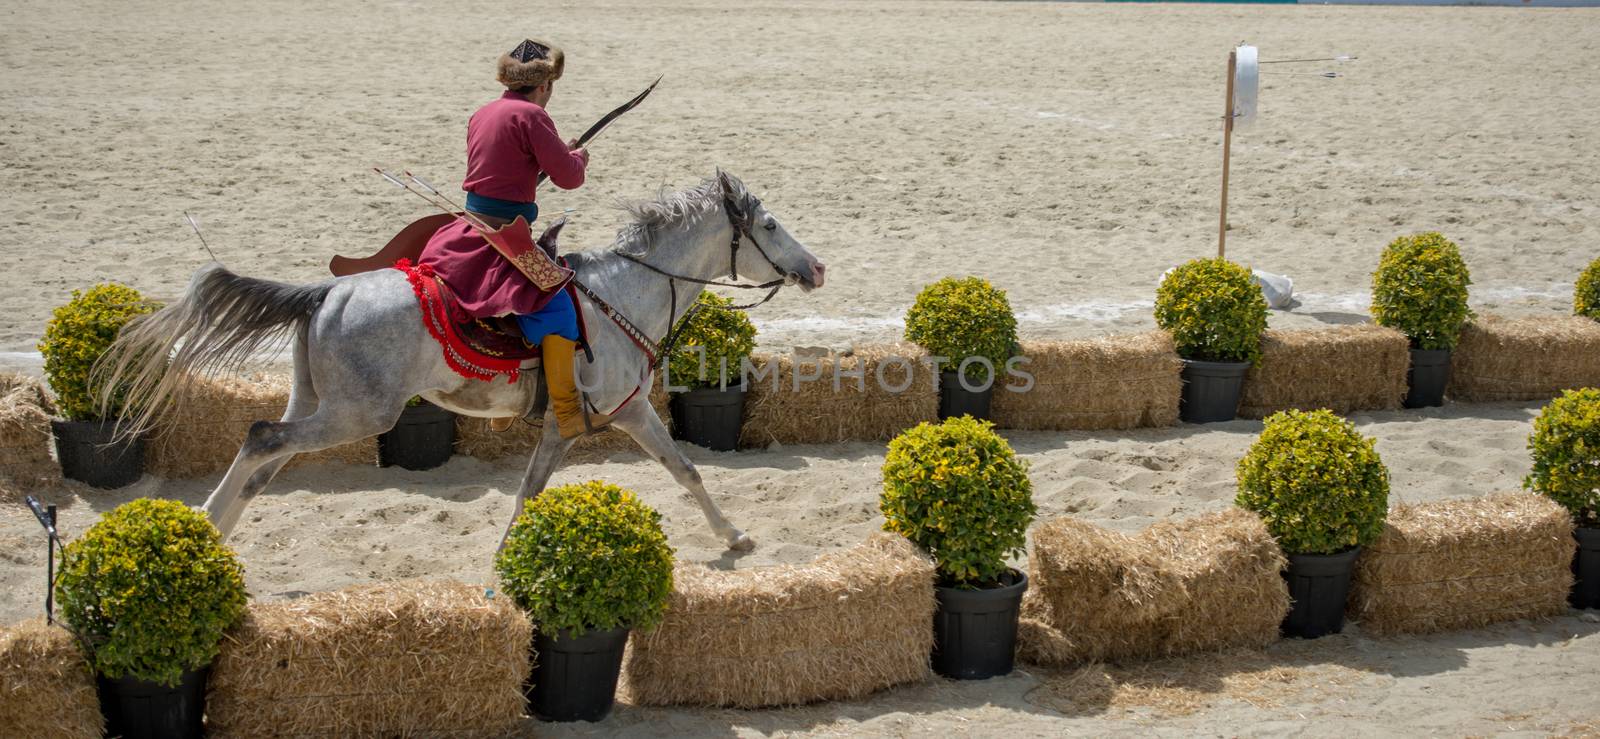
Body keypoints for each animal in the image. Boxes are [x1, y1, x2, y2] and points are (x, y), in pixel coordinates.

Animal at [96, 170, 825, 550]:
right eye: (769, 226)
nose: (815, 267)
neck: (625, 290)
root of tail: (327, 292)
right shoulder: (616, 412)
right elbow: (677, 470)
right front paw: (733, 535)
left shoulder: (586, 420)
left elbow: (549, 486)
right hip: (358, 413)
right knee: (258, 438)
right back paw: (205, 527)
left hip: (316, 402)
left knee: (261, 462)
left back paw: (211, 529)